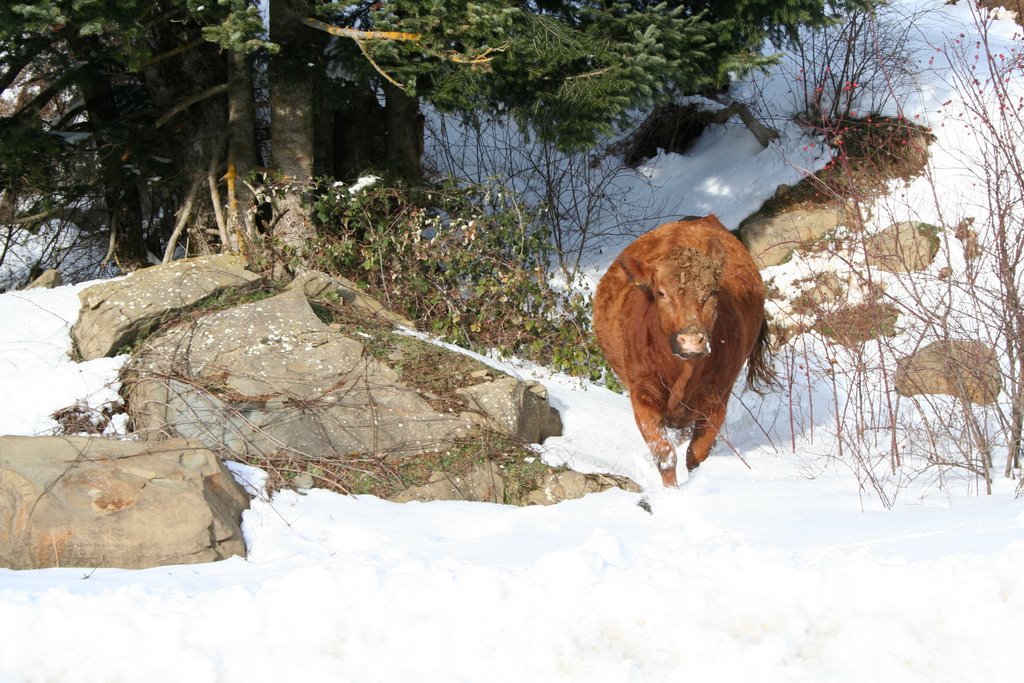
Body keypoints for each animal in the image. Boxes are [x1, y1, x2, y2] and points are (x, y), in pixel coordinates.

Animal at [593, 214, 770, 485]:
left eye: (712, 292)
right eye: (661, 293)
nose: (691, 340)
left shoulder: (717, 399)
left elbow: (696, 454)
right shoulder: (642, 394)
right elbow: (665, 454)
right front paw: (672, 491)